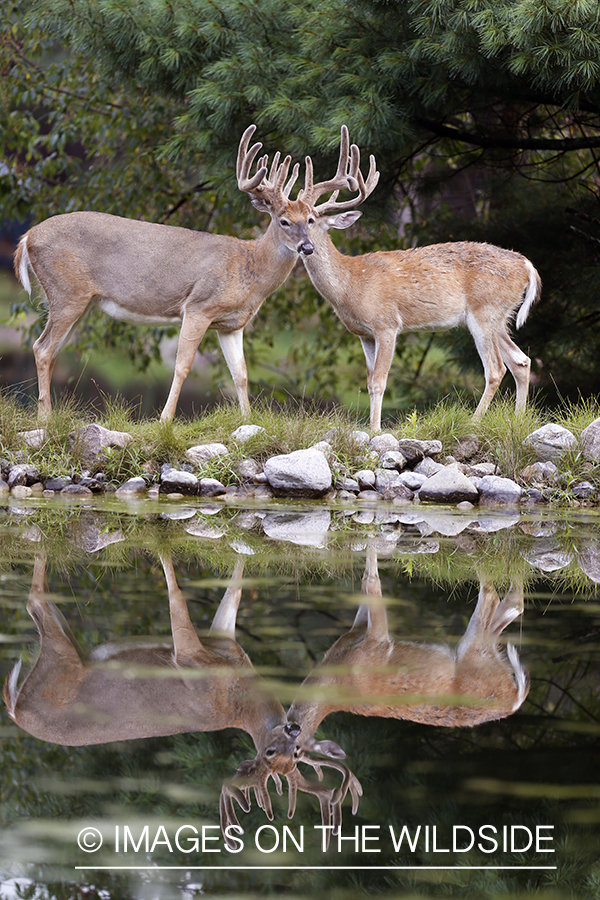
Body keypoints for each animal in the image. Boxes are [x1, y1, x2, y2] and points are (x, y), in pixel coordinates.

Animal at [12, 125, 318, 422]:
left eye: (311, 220)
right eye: (284, 221)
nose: (308, 247)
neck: (249, 266)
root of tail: (27, 238)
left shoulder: (232, 324)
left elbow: (240, 374)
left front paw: (247, 420)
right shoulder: (199, 306)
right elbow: (182, 366)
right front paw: (165, 419)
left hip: (80, 301)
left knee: (52, 350)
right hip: (66, 292)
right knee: (42, 348)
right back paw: (45, 419)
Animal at [290, 126, 544, 432]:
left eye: (311, 220)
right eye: (284, 218)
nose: (304, 246)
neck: (351, 284)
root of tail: (526, 264)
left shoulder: (387, 323)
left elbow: (378, 382)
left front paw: (375, 430)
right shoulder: (364, 334)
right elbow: (369, 380)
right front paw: (371, 426)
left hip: (486, 311)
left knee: (496, 368)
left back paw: (474, 422)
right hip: (501, 317)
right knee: (522, 361)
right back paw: (518, 421)